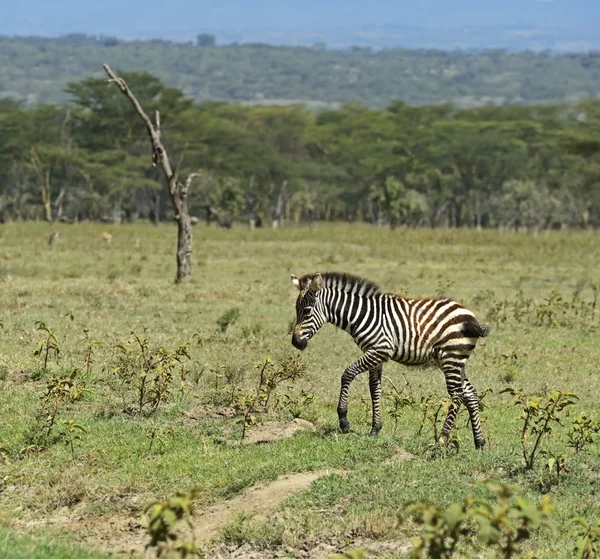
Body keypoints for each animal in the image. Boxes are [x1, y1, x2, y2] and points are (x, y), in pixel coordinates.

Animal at [292, 272, 492, 450]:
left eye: (307, 311)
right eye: (296, 310)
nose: (295, 343)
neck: (361, 315)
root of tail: (469, 315)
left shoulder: (381, 349)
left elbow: (348, 373)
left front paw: (344, 421)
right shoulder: (374, 353)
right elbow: (374, 387)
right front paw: (375, 429)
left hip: (451, 356)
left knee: (457, 395)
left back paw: (442, 440)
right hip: (455, 360)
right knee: (470, 393)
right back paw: (479, 443)